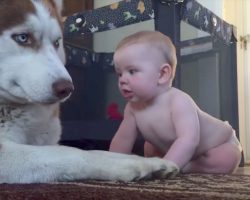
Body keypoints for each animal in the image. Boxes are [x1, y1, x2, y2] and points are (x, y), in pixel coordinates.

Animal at [0, 0, 178, 184]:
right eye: (22, 37)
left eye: (56, 43)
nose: (67, 88)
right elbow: (69, 152)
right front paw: (127, 164)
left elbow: (93, 151)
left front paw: (147, 161)